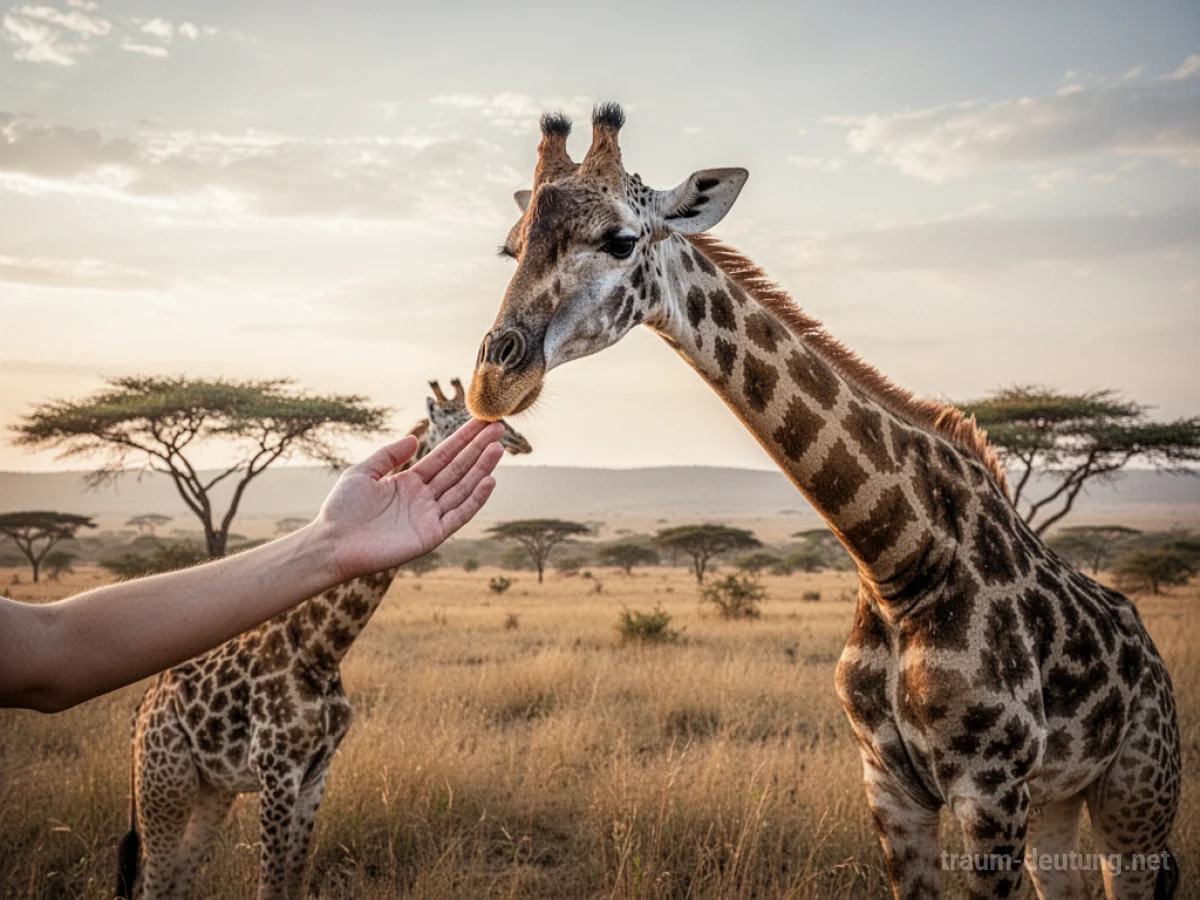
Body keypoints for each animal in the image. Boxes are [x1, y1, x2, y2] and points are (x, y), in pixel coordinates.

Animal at [116, 379, 531, 900]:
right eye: (468, 421)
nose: (519, 440)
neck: (321, 649)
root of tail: (141, 710)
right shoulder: (277, 770)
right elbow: (270, 885)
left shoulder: (318, 771)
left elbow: (293, 879)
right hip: (164, 782)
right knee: (153, 881)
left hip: (213, 789)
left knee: (176, 881)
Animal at [465, 105, 1181, 900]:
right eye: (510, 249)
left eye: (620, 241)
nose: (493, 383)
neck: (897, 559)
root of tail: (1154, 660)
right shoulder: (889, 785)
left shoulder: (991, 789)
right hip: (1059, 799)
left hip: (1136, 793)